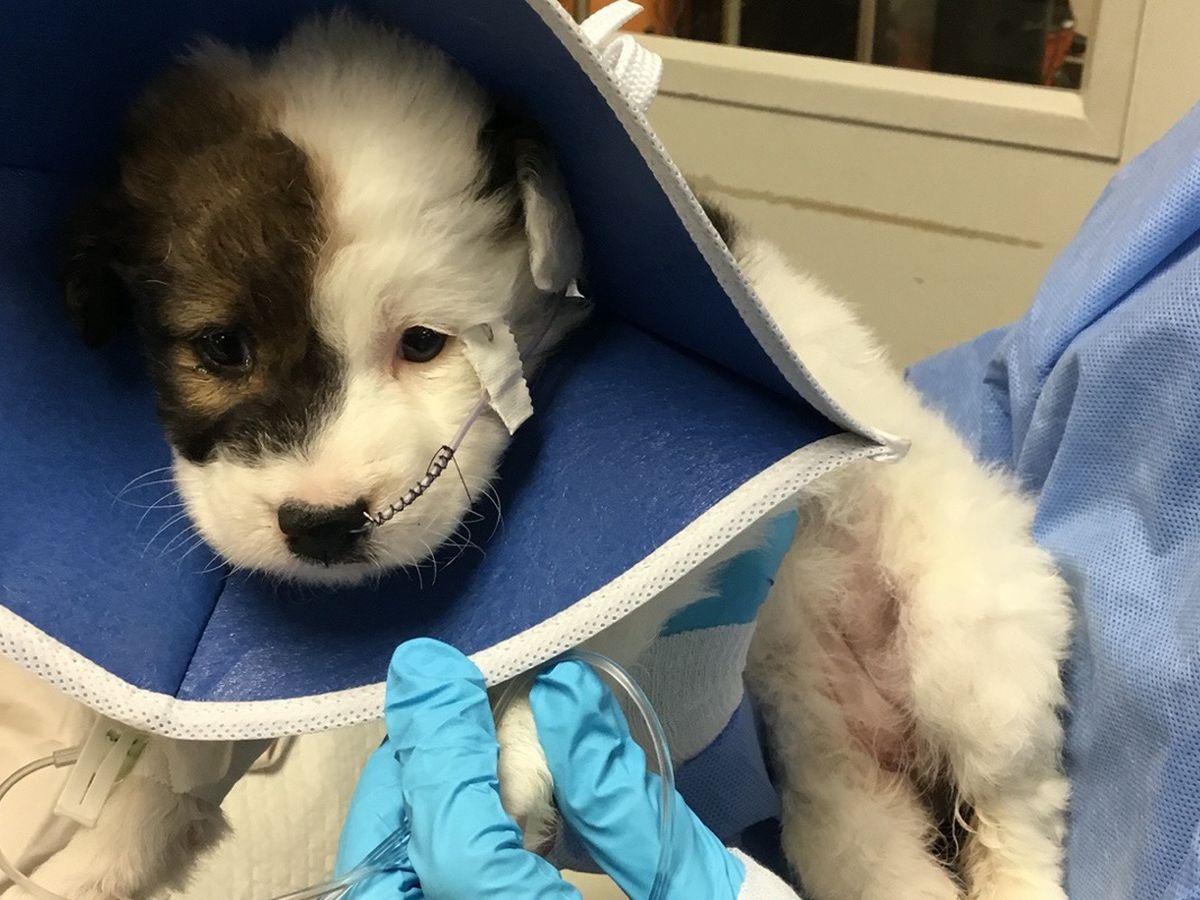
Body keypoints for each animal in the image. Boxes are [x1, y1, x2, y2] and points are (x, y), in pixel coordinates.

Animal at [26, 10, 1069, 899]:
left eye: (424, 343)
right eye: (220, 348)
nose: (320, 527)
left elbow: (561, 647)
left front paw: (506, 754)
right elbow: (179, 751)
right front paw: (110, 835)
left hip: (968, 656)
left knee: (1019, 799)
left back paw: (1021, 877)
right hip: (833, 765)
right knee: (876, 844)